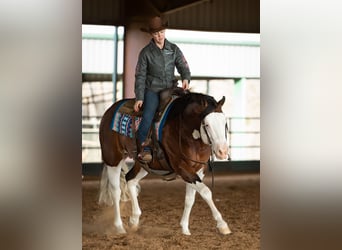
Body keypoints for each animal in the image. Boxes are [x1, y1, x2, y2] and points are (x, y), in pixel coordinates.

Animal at [98, 91, 232, 235]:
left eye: (225, 123)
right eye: (206, 124)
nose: (222, 151)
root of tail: (109, 111)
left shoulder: (198, 170)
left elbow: (190, 199)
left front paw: (185, 229)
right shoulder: (181, 167)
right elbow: (206, 192)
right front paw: (222, 225)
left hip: (143, 164)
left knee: (130, 179)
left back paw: (134, 220)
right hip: (113, 159)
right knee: (116, 191)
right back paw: (119, 227)